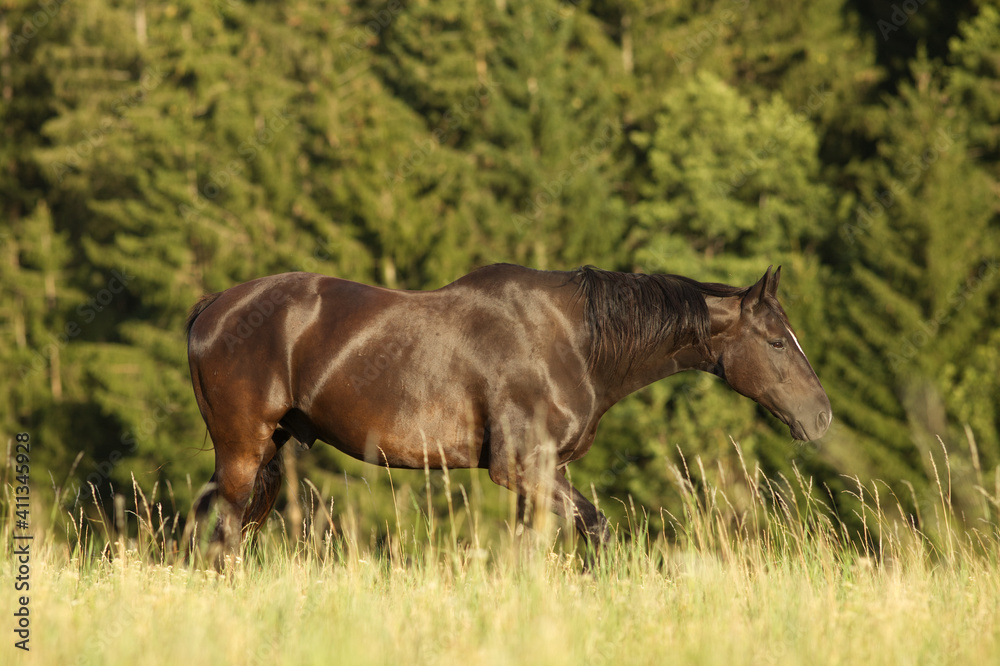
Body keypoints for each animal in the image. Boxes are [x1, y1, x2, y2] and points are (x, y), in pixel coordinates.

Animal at [186, 262, 828, 548]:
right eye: (776, 341)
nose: (820, 417)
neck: (572, 339)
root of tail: (212, 305)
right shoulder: (521, 466)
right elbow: (596, 529)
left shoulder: (543, 473)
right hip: (242, 451)